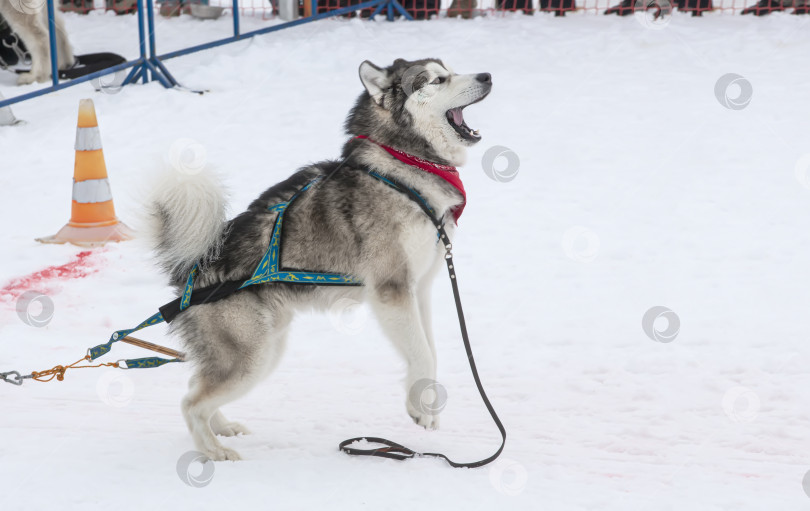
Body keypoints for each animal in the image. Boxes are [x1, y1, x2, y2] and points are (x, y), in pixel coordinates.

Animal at [149, 58, 492, 462]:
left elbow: (429, 351)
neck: (404, 164)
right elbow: (421, 352)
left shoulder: (418, 289)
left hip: (264, 348)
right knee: (190, 402)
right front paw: (419, 409)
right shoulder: (391, 290)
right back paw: (214, 452)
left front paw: (424, 401)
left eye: (449, 70)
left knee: (196, 384)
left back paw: (223, 428)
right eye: (439, 79)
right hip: (252, 356)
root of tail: (194, 268)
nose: (487, 76)